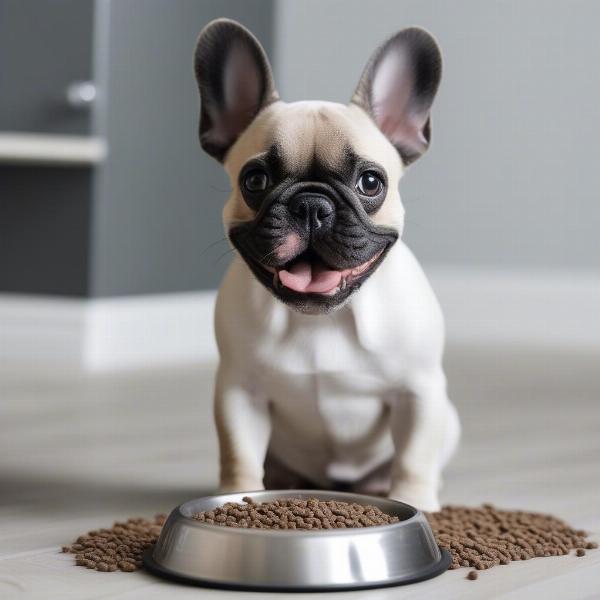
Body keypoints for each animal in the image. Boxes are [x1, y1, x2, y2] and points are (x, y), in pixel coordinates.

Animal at [192, 18, 460, 510]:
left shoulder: (418, 391)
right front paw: (237, 498)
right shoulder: (239, 391)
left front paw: (415, 502)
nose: (312, 206)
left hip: (448, 418)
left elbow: (414, 456)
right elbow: (238, 452)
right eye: (255, 180)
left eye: (370, 182)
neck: (323, 319)